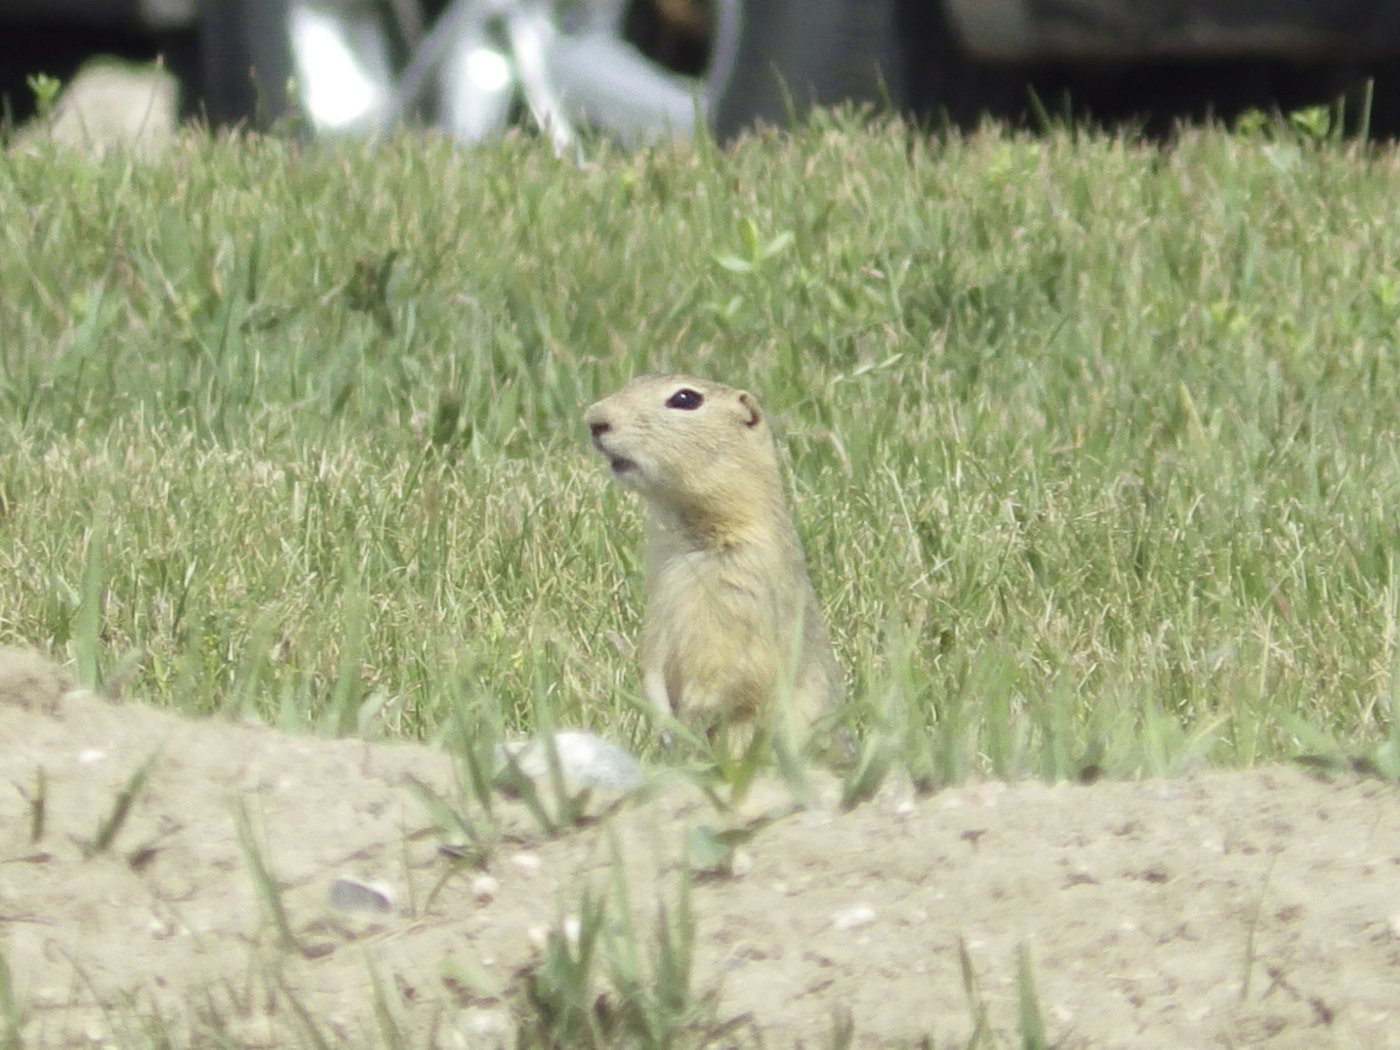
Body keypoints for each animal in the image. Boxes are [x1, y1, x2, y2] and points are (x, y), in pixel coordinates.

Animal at [584, 373, 843, 752]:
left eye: (685, 399)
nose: (594, 420)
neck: (689, 539)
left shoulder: (744, 589)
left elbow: (732, 674)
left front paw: (687, 728)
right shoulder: (660, 602)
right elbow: (653, 662)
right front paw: (663, 724)